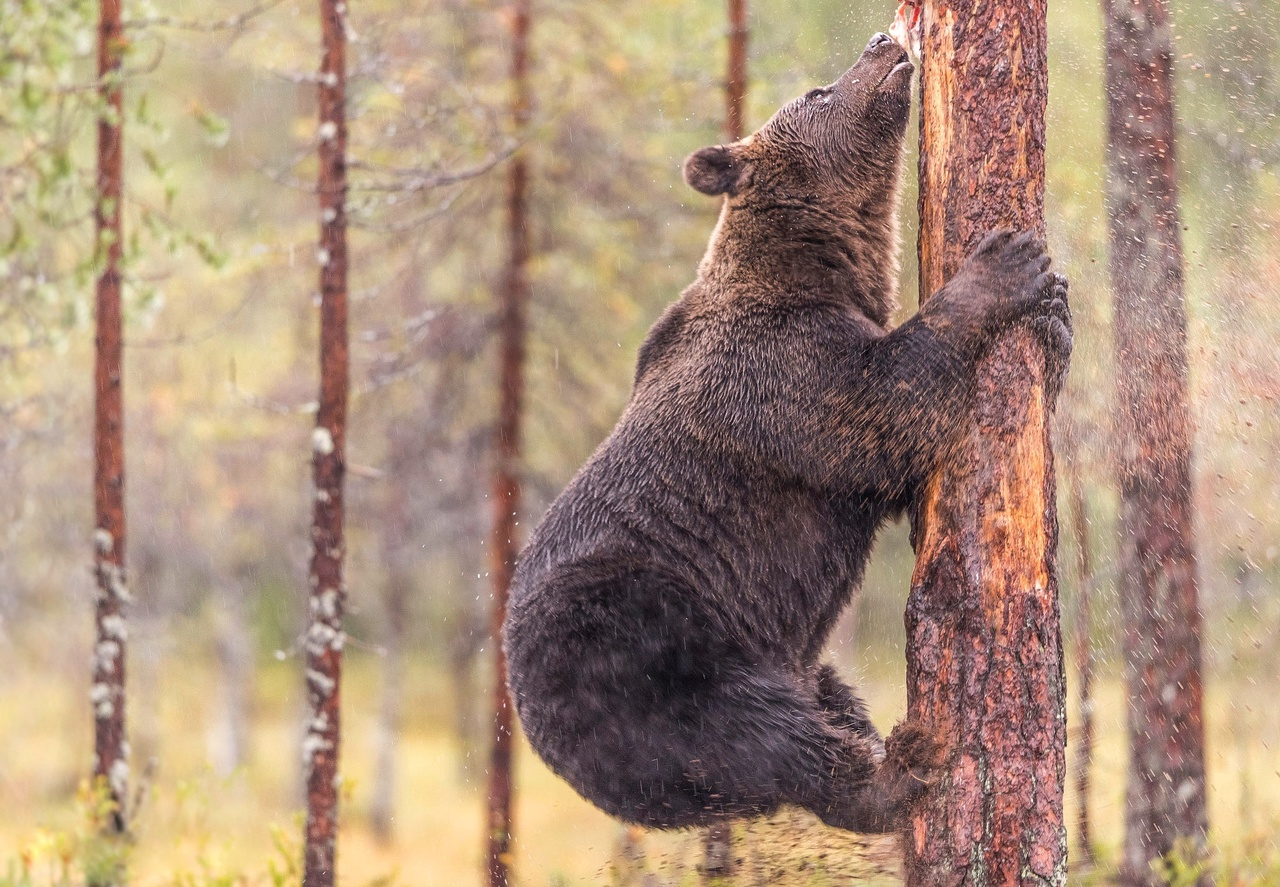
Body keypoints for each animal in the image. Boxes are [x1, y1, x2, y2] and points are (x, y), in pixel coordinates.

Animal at [499, 29, 1070, 829]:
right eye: (816, 92)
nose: (883, 39)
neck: (822, 267)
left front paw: (1056, 312)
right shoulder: (781, 376)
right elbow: (889, 405)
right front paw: (1007, 264)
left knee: (809, 705)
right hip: (644, 638)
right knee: (756, 729)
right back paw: (903, 762)